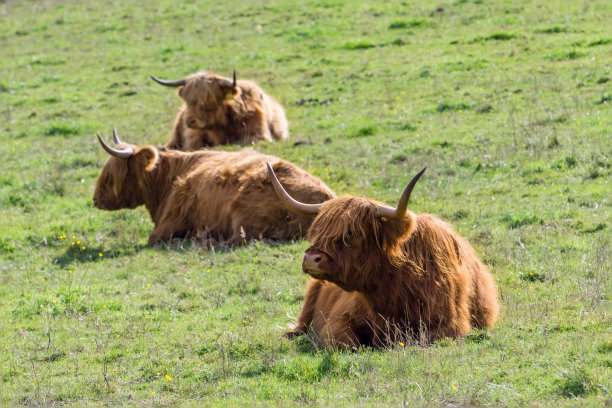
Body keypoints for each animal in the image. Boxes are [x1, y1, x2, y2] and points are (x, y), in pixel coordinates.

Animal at [266, 164, 498, 350]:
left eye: (352, 235)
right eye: (318, 231)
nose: (311, 258)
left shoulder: (450, 325)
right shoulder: (339, 318)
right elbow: (344, 342)